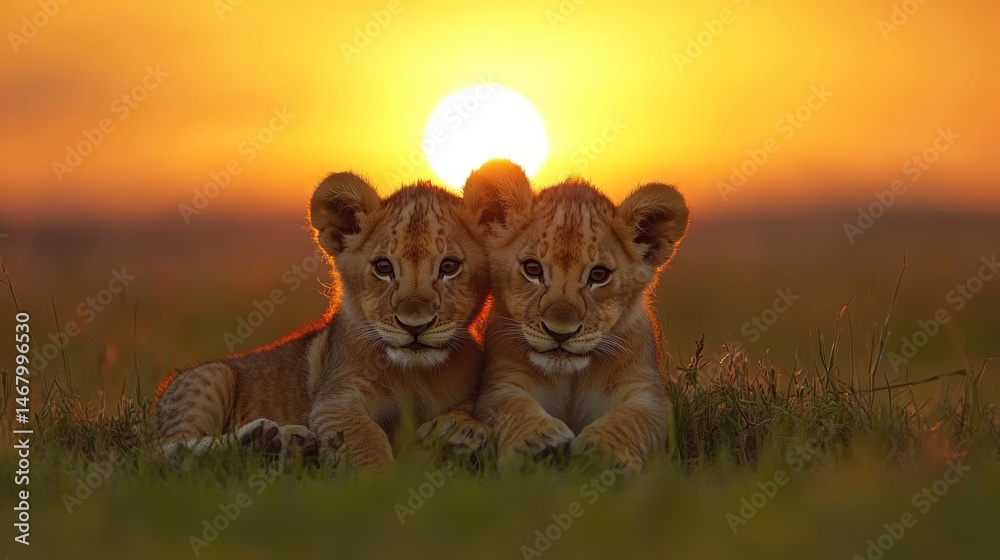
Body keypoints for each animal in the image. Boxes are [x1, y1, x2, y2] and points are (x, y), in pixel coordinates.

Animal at [156, 172, 502, 470]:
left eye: (449, 267)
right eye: (383, 267)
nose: (414, 325)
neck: (416, 375)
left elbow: (468, 409)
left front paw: (462, 430)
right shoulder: (335, 399)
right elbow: (364, 440)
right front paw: (380, 483)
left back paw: (281, 443)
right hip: (210, 377)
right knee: (166, 453)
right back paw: (262, 439)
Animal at [466, 160, 690, 473]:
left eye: (598, 275)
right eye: (533, 269)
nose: (560, 332)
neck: (571, 378)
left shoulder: (647, 394)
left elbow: (632, 421)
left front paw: (603, 452)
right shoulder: (501, 382)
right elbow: (511, 407)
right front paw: (537, 443)